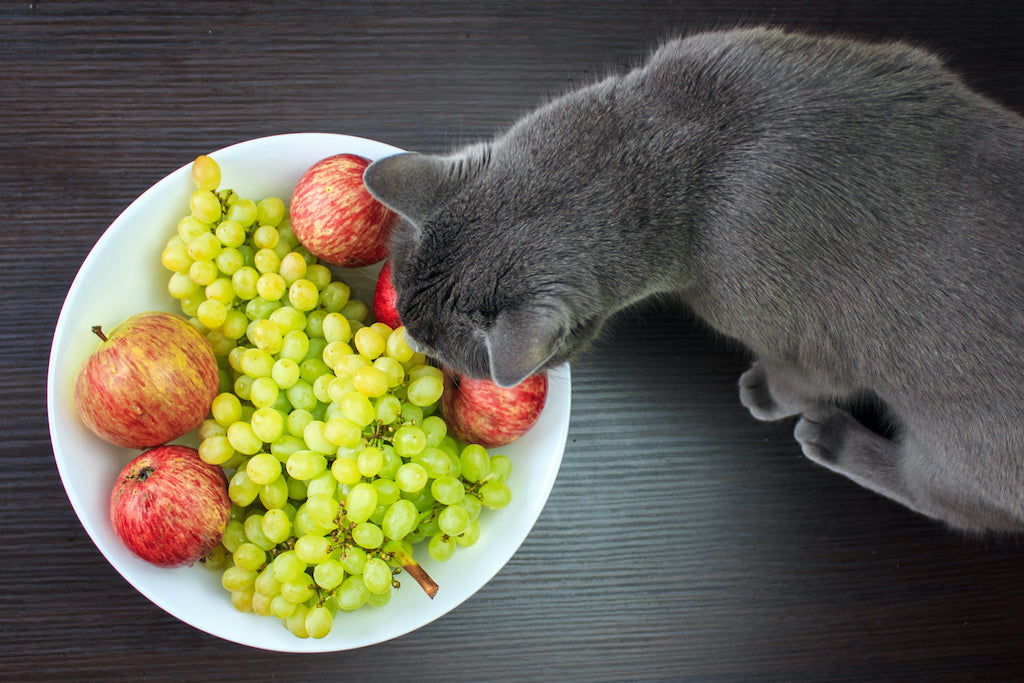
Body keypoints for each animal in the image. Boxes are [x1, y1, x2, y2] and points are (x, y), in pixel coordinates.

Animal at [362, 28, 1024, 532]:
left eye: (436, 347)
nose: (408, 342)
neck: (673, 148)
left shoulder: (809, 342)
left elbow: (805, 378)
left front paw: (767, 393)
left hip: (962, 443)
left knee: (950, 501)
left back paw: (834, 438)